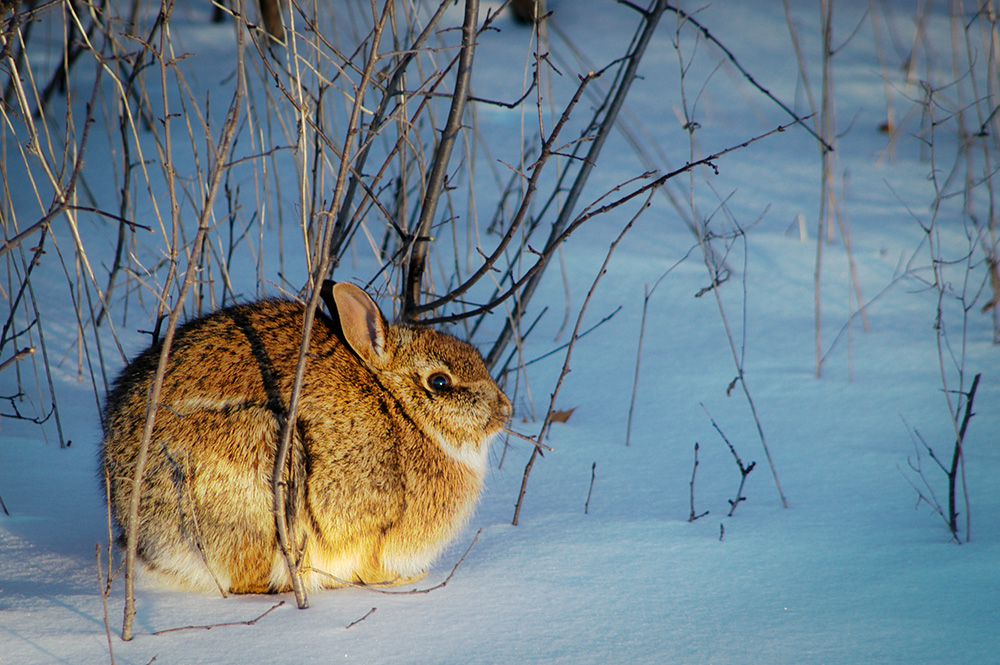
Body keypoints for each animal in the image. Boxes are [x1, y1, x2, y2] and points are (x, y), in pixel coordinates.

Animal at [100, 278, 512, 592]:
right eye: (439, 383)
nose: (504, 409)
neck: (398, 408)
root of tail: (136, 528)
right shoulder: (370, 526)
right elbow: (370, 565)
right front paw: (403, 579)